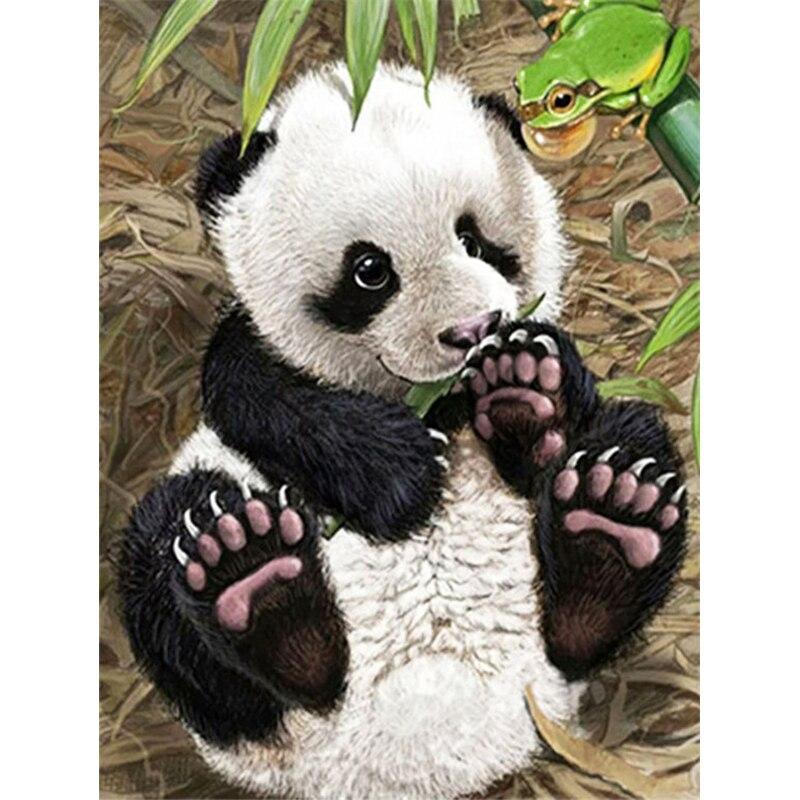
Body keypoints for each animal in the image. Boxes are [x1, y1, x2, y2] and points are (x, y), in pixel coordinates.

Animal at [117, 62, 687, 799]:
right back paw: (253, 576)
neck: (432, 402)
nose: (473, 330)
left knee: (631, 446)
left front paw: (524, 386)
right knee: (169, 551)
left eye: (474, 240)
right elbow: (258, 386)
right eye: (371, 271)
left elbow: (563, 390)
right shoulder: (262, 361)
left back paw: (613, 523)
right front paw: (400, 471)